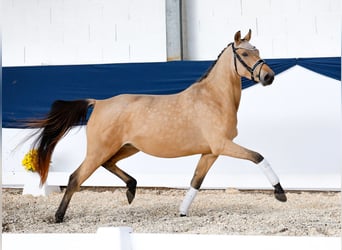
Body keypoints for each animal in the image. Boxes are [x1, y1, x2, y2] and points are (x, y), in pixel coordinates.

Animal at [28, 29, 286, 223]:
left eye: (257, 50)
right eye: (244, 52)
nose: (269, 77)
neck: (214, 98)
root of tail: (99, 103)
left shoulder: (210, 152)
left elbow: (196, 181)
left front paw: (182, 212)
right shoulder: (222, 145)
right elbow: (258, 157)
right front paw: (280, 194)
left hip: (127, 148)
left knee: (108, 164)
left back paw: (131, 189)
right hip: (99, 150)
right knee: (75, 178)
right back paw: (59, 216)